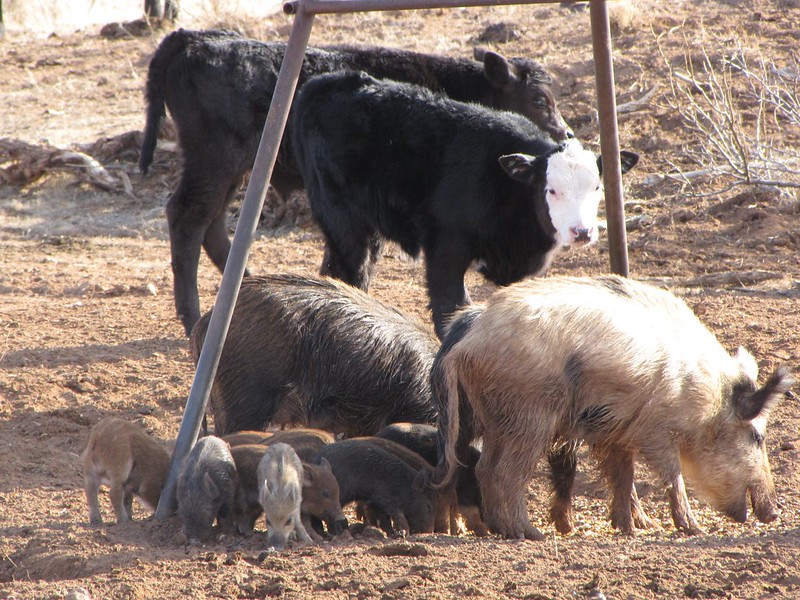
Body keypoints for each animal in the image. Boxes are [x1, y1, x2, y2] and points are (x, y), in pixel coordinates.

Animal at [290, 70, 640, 338]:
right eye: (551, 190)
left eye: (597, 187)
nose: (582, 232)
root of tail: (324, 82)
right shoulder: (445, 247)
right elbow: (451, 306)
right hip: (344, 220)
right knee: (352, 270)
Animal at [434, 276, 792, 540]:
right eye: (757, 437)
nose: (774, 512)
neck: (705, 396)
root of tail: (468, 344)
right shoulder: (656, 430)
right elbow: (672, 476)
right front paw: (693, 529)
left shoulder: (618, 431)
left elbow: (623, 476)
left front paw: (630, 528)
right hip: (530, 414)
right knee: (506, 473)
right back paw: (528, 533)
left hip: (496, 416)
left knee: (483, 468)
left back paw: (501, 530)